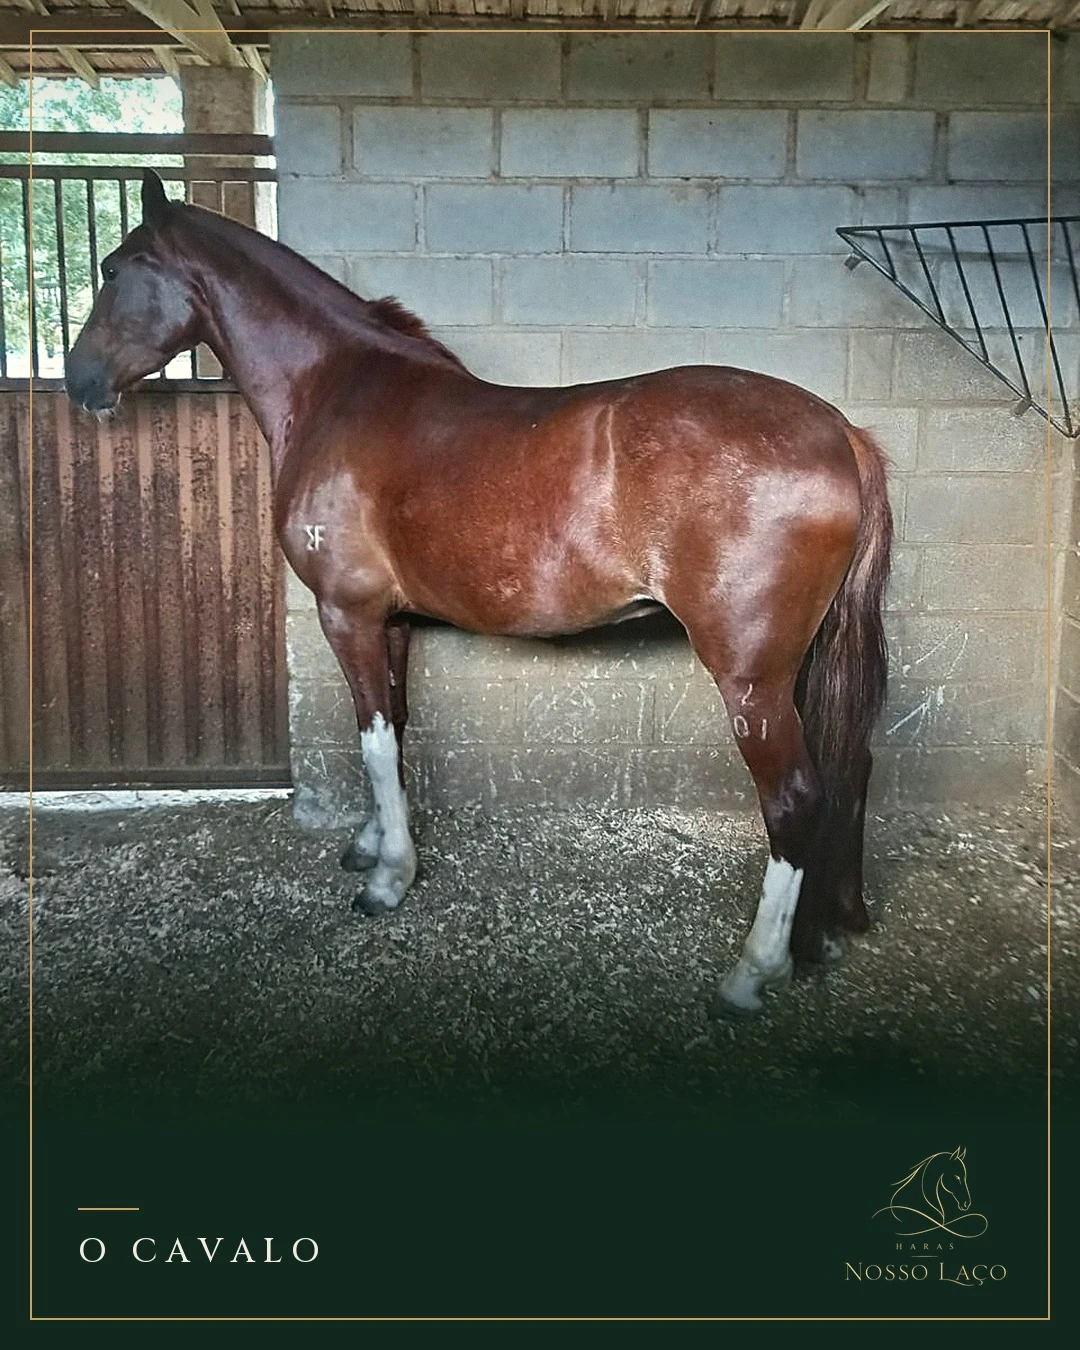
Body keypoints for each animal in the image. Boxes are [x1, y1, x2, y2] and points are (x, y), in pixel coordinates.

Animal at [65, 168, 892, 1016]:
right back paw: (830, 927)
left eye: (112, 269)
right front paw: (371, 844)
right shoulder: (391, 621)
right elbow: (394, 729)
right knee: (851, 767)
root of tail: (841, 434)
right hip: (805, 662)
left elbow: (371, 738)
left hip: (750, 677)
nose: (78, 380)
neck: (337, 392)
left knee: (795, 798)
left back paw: (754, 970)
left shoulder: (347, 613)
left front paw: (390, 879)